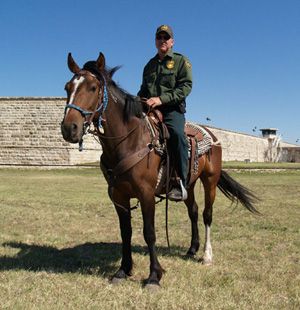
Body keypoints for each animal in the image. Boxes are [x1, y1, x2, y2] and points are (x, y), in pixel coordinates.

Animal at [61, 52, 258, 288]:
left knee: (207, 214)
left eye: (92, 87)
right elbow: (125, 232)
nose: (69, 128)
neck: (129, 141)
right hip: (188, 184)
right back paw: (192, 248)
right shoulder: (118, 196)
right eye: (67, 87)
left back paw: (207, 255)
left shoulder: (146, 194)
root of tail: (211, 134)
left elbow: (149, 233)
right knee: (193, 211)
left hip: (210, 180)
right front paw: (123, 270)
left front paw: (154, 276)